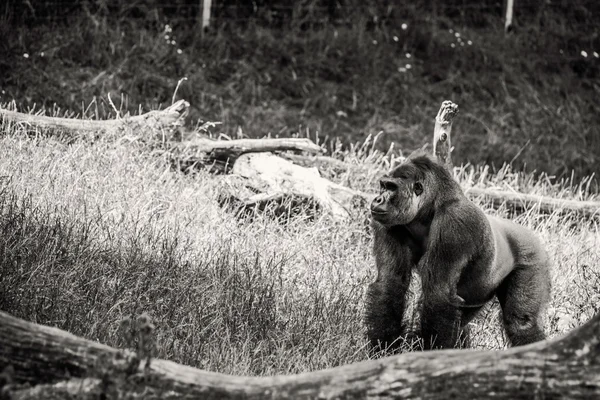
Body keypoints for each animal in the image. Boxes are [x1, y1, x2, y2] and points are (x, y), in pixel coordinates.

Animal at [364, 153, 552, 350]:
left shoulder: (455, 222)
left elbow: (438, 294)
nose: (377, 199)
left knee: (521, 324)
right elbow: (391, 283)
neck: (428, 209)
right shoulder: (388, 224)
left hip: (533, 255)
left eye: (392, 188)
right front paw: (384, 348)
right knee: (462, 322)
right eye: (383, 186)